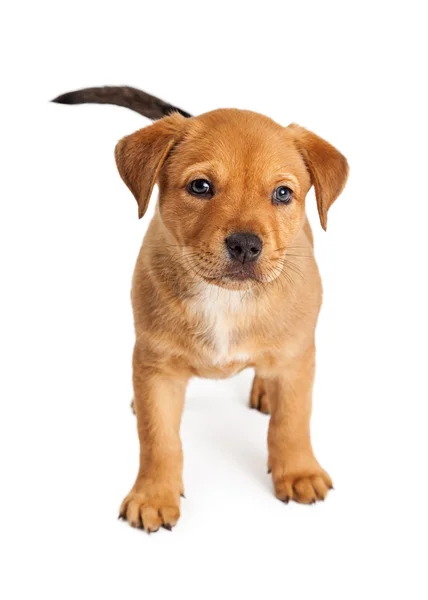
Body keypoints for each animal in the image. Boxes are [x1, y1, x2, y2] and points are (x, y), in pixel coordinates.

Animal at [53, 84, 348, 528]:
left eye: (283, 193)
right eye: (200, 187)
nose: (245, 245)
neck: (225, 299)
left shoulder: (297, 356)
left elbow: (291, 422)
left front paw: (298, 472)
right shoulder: (155, 365)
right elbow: (158, 439)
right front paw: (154, 495)